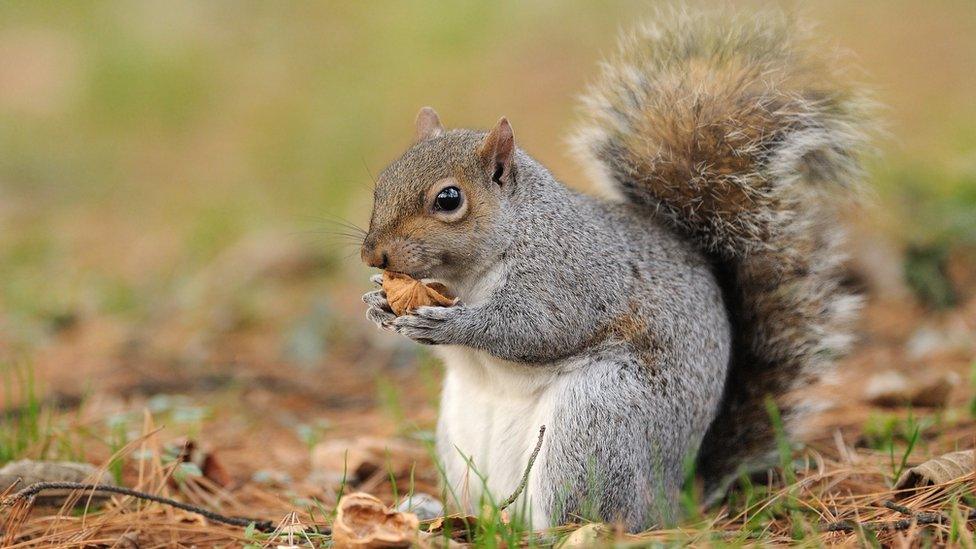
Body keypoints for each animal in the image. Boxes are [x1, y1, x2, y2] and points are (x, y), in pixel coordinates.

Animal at [356, 5, 868, 532]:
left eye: (449, 199)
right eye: (382, 184)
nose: (374, 255)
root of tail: (672, 497)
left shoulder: (569, 275)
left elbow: (538, 328)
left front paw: (451, 324)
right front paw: (378, 301)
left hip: (596, 422)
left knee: (591, 515)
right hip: (462, 441)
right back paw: (440, 513)